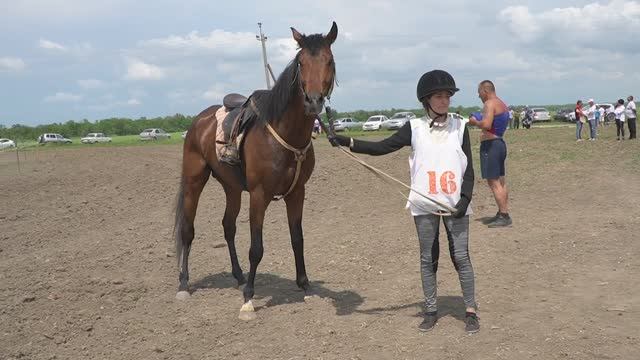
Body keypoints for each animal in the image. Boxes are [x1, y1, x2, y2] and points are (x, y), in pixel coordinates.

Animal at [172, 23, 338, 320]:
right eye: (301, 63)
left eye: (329, 60)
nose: (313, 101)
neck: (284, 133)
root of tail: (199, 120)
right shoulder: (259, 195)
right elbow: (256, 248)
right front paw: (249, 299)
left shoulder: (297, 192)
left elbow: (297, 239)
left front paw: (305, 286)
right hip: (194, 180)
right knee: (187, 230)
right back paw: (184, 284)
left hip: (232, 187)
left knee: (228, 226)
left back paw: (238, 275)